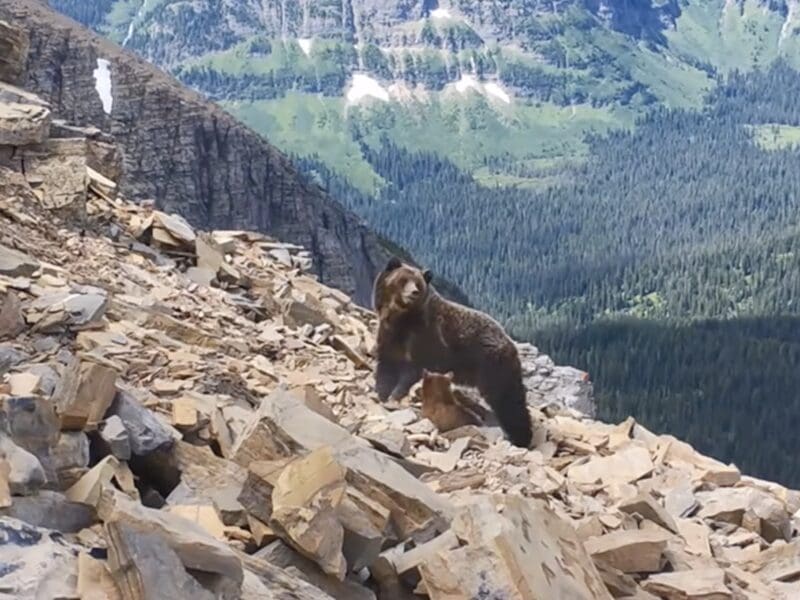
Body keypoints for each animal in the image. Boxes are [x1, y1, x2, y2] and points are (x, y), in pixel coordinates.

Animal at [372, 256, 534, 448]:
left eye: (418, 283)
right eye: (403, 279)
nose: (413, 293)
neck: (401, 319)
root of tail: (509, 342)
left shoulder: (423, 339)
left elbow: (410, 372)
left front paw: (394, 397)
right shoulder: (389, 338)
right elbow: (386, 367)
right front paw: (381, 394)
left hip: (493, 366)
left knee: (508, 399)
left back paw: (521, 437)